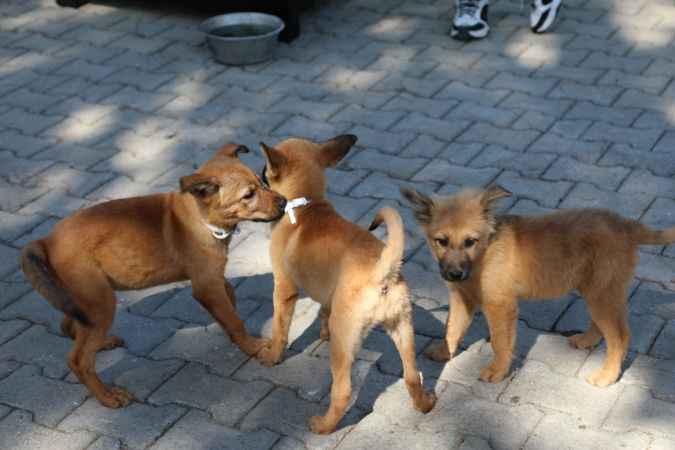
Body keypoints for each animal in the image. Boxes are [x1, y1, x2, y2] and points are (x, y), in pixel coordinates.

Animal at [20, 144, 286, 408]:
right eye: (248, 195)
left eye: (261, 182)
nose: (284, 202)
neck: (202, 219)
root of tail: (45, 240)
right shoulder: (206, 284)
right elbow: (234, 320)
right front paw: (252, 346)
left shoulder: (211, 276)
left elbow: (229, 299)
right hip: (100, 301)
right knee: (78, 359)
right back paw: (108, 396)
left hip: (86, 299)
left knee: (70, 326)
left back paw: (103, 343)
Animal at [256, 135, 436, 434]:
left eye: (266, 171)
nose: (258, 175)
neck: (307, 206)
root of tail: (382, 271)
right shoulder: (329, 295)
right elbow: (323, 310)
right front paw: (322, 330)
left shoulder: (284, 288)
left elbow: (280, 329)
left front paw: (272, 355)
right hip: (402, 328)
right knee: (412, 376)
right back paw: (425, 404)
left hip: (345, 343)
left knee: (342, 392)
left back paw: (323, 425)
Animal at [402, 185, 675, 388]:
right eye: (441, 241)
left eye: (470, 241)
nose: (454, 274)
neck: (484, 253)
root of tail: (626, 225)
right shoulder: (462, 299)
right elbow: (451, 329)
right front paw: (444, 353)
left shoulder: (500, 305)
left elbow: (500, 342)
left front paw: (497, 371)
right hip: (596, 289)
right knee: (604, 326)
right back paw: (587, 340)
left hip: (602, 290)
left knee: (620, 336)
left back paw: (606, 375)